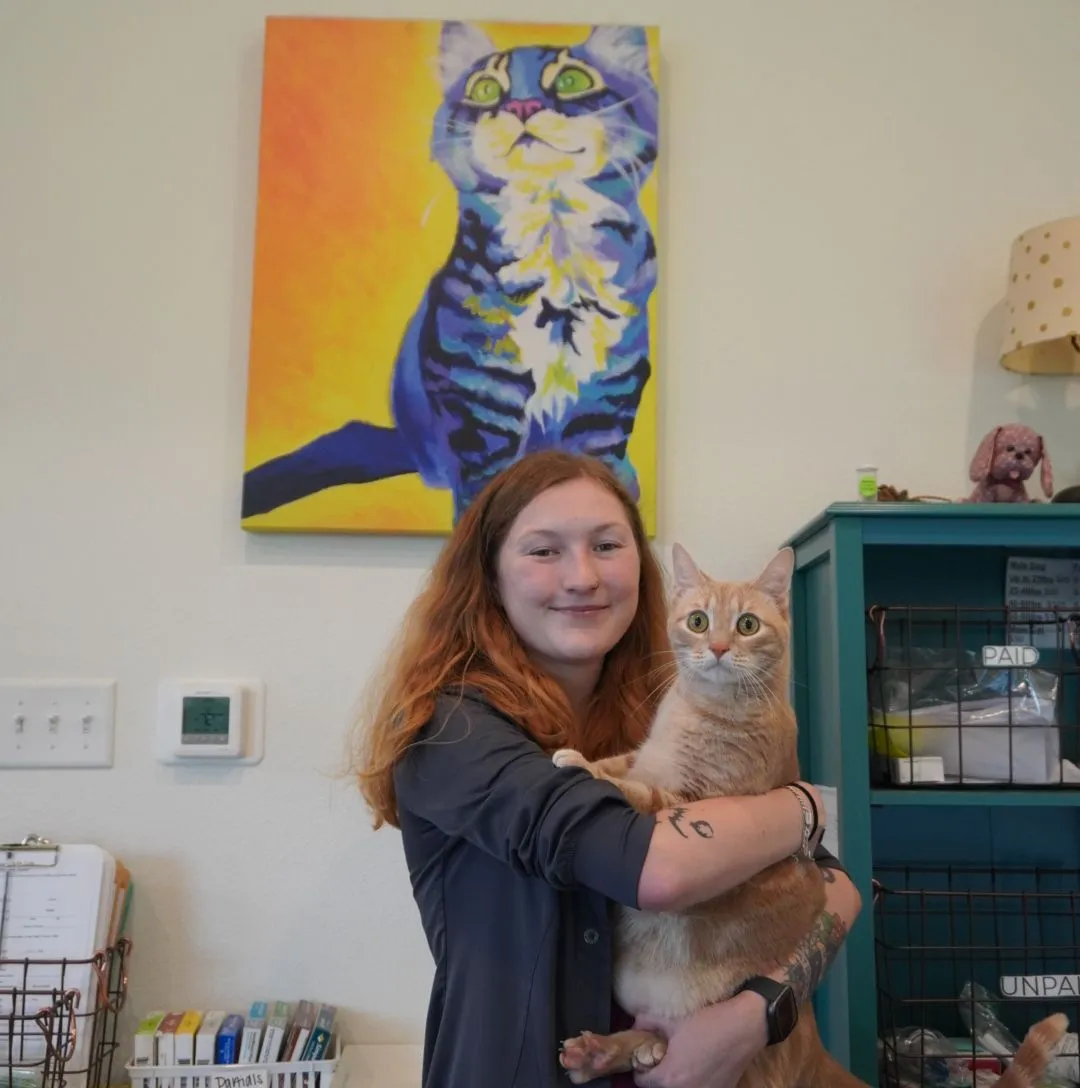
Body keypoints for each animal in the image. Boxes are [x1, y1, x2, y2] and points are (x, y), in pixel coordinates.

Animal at [241, 21, 658, 522]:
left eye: (572, 81)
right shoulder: (474, 384)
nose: (521, 106)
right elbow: (485, 480)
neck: (552, 233)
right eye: (486, 90)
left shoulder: (611, 385)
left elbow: (597, 461)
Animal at [551, 544, 1068, 1088]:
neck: (697, 709)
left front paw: (582, 768)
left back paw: (629, 1051)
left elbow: (639, 793)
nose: (717, 648)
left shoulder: (694, 800)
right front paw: (585, 758)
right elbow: (621, 764)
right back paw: (605, 1051)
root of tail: (813, 1045)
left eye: (747, 625)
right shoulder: (644, 757)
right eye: (697, 621)